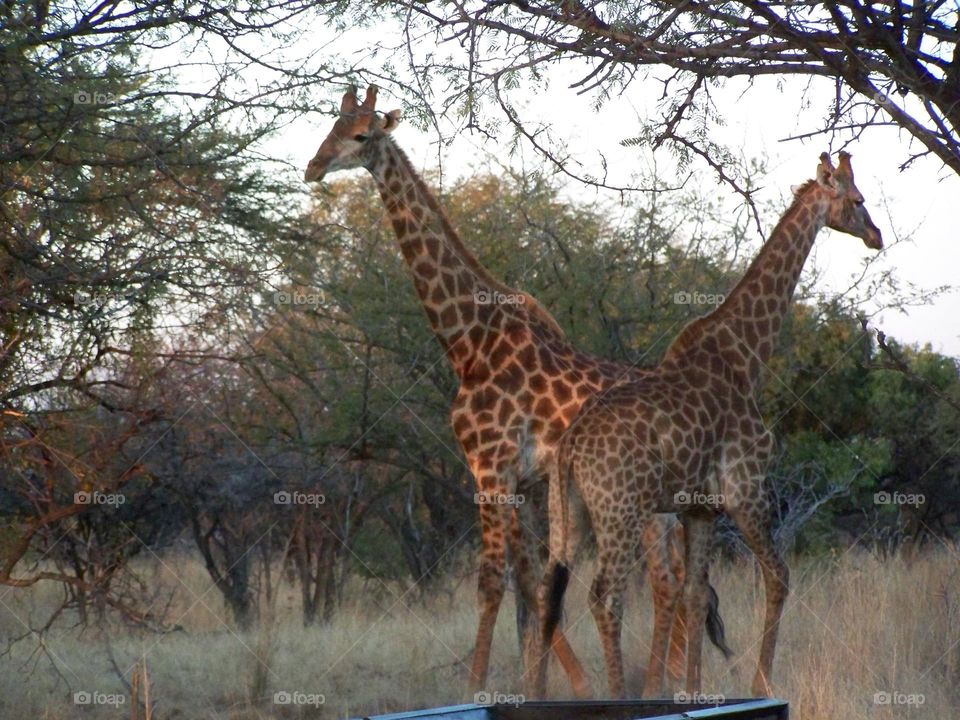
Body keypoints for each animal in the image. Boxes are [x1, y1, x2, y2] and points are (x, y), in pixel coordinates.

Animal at [303, 85, 730, 696]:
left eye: (361, 135)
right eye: (330, 127)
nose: (313, 167)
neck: (469, 341)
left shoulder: (490, 467)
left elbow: (492, 582)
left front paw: (478, 689)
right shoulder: (523, 482)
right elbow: (533, 584)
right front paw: (545, 687)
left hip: (643, 502)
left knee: (664, 581)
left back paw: (661, 687)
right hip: (663, 502)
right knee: (679, 581)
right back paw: (674, 683)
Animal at [536, 152, 883, 699]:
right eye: (857, 199)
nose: (876, 236)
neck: (746, 356)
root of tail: (569, 449)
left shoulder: (699, 508)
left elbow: (696, 596)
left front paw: (693, 692)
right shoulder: (746, 490)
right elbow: (779, 577)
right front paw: (761, 684)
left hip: (567, 512)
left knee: (550, 589)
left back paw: (532, 691)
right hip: (620, 514)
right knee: (603, 597)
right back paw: (617, 695)